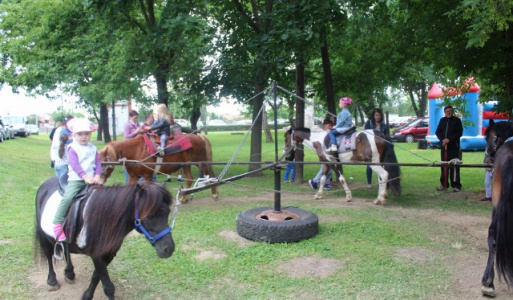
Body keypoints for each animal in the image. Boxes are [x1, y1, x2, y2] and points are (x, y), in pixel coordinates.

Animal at [34, 178, 174, 300]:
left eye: (168, 212)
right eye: (152, 215)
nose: (168, 249)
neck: (104, 219)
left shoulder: (108, 255)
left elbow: (96, 277)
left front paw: (87, 296)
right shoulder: (97, 256)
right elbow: (108, 287)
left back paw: (69, 273)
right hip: (44, 237)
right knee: (48, 255)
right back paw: (52, 281)